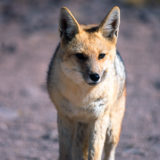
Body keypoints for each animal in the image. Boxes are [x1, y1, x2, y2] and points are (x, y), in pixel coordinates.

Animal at [47, 5, 126, 160]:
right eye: (80, 56)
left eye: (101, 56)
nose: (95, 76)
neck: (83, 99)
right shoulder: (65, 117)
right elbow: (64, 153)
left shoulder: (99, 119)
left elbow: (94, 154)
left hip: (112, 130)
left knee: (109, 152)